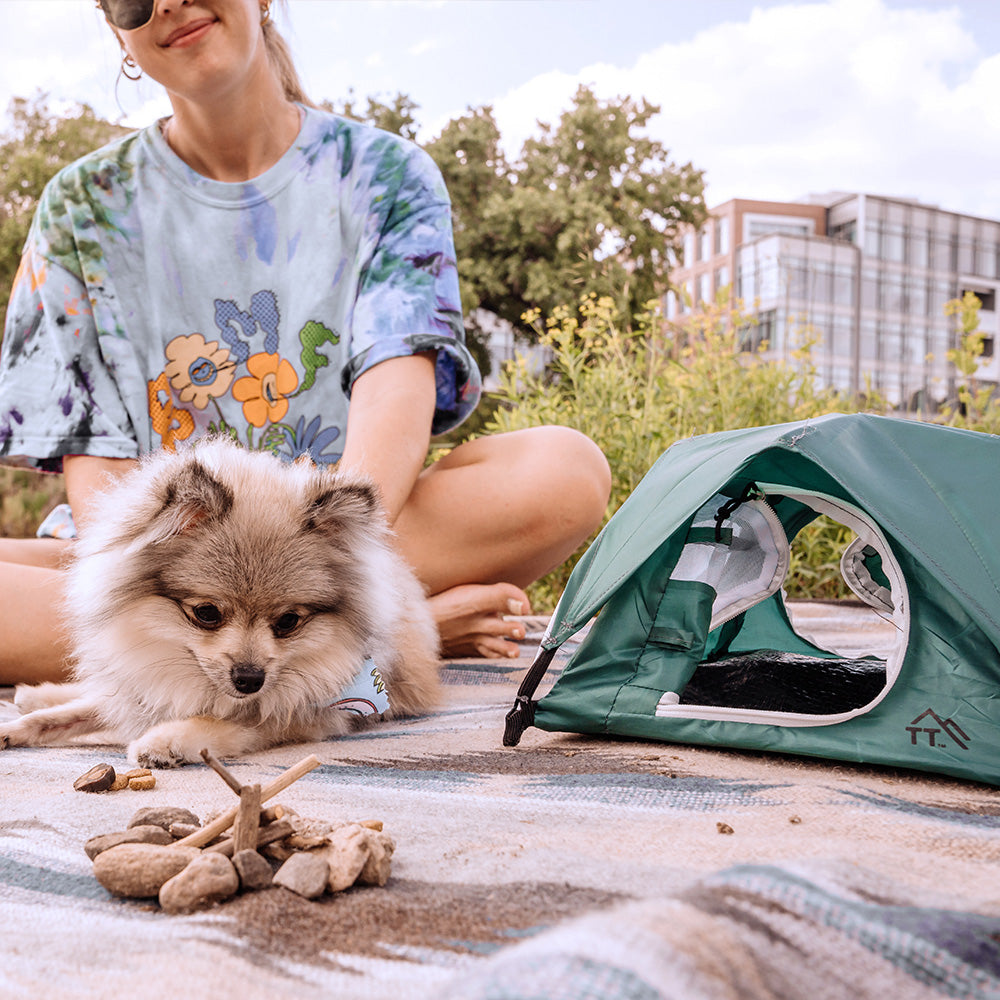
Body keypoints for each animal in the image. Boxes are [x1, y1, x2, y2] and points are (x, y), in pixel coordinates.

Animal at [0, 440, 438, 764]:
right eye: (206, 613)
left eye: (288, 622)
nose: (249, 679)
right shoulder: (145, 687)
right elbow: (62, 716)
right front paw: (14, 728)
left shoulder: (305, 714)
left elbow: (224, 724)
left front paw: (165, 740)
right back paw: (38, 693)